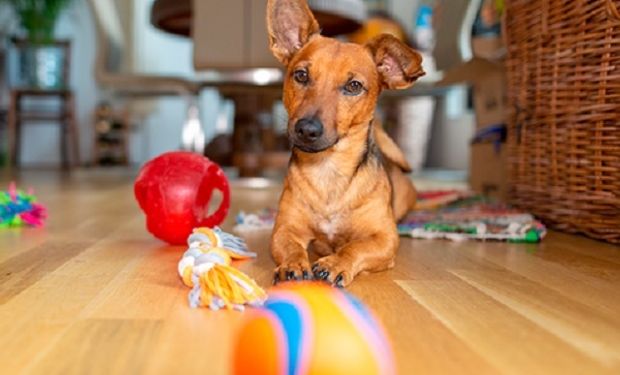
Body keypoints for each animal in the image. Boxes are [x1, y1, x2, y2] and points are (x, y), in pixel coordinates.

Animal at [268, 0, 424, 288]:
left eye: (353, 86)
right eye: (301, 75)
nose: (306, 129)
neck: (328, 170)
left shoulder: (385, 239)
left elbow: (355, 247)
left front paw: (336, 263)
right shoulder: (284, 229)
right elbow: (292, 247)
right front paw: (293, 264)